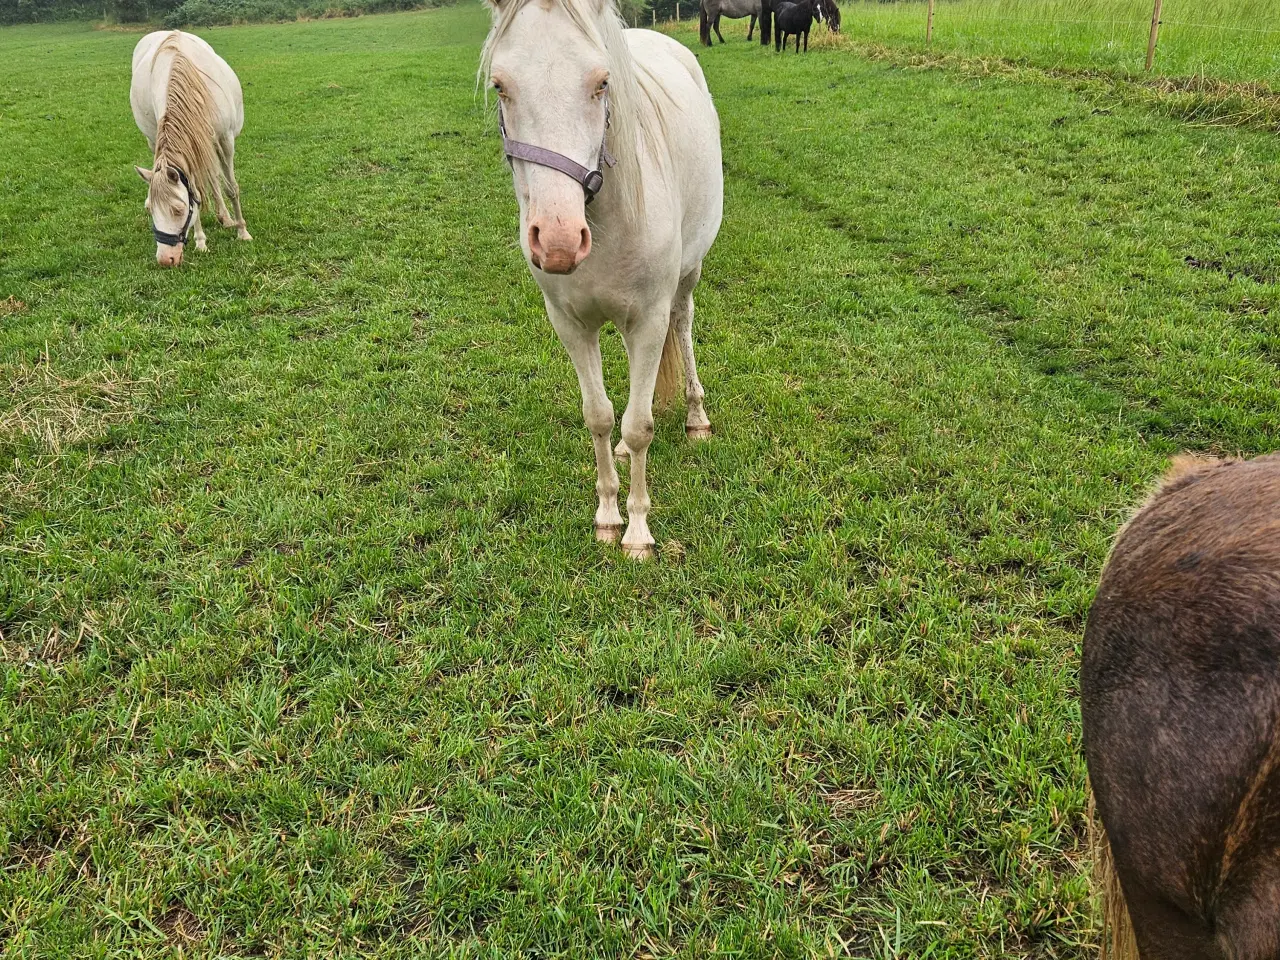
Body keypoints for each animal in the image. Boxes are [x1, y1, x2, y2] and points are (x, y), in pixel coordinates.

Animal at [129, 31, 249, 267]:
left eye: (178, 210)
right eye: (151, 209)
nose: (166, 259)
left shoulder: (226, 140)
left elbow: (231, 188)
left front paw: (242, 232)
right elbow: (196, 191)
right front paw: (201, 241)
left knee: (214, 177)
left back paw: (226, 218)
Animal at [481, 0, 721, 563]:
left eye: (602, 83)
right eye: (500, 86)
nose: (559, 241)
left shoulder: (648, 321)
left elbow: (639, 425)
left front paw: (638, 533)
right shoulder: (570, 324)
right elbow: (600, 416)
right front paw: (609, 516)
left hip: (687, 279)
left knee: (685, 325)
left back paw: (696, 416)